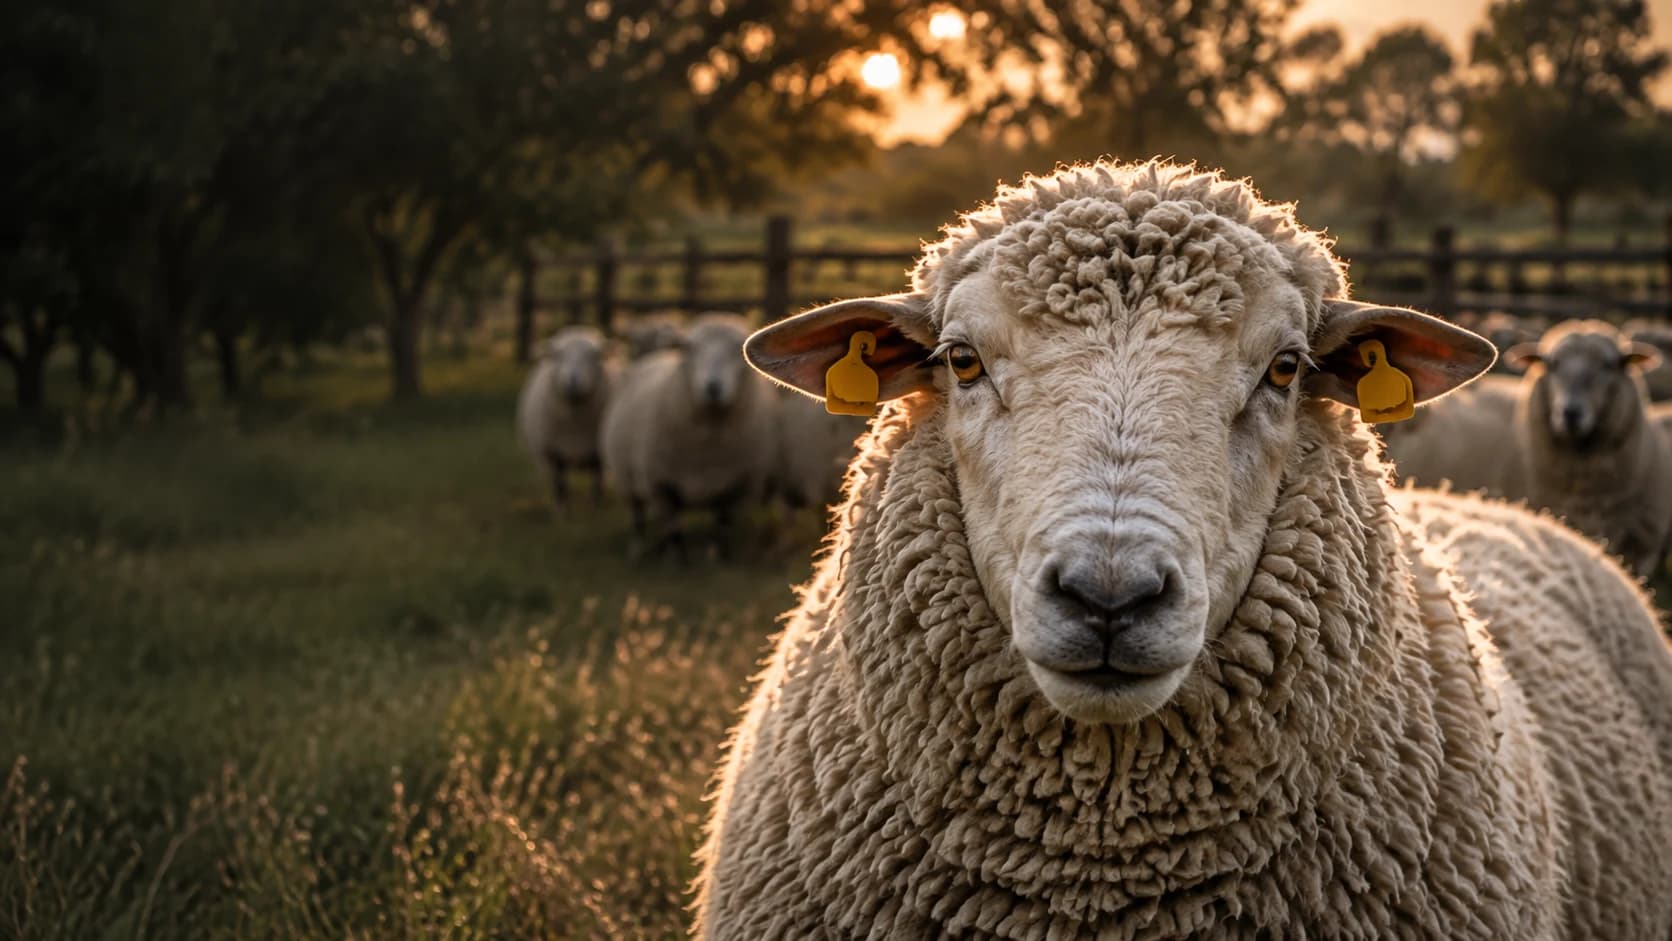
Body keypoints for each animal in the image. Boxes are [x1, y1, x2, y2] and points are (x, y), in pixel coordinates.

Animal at [515, 326, 610, 505]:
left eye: (593, 355)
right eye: (558, 355)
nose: (572, 380)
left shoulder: (597, 456)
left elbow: (596, 486)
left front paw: (595, 507)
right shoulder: (552, 456)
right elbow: (561, 490)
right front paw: (563, 512)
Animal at [599, 313, 775, 558]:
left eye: (736, 350)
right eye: (691, 348)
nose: (713, 387)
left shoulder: (740, 488)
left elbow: (723, 527)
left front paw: (720, 555)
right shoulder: (660, 485)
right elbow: (674, 530)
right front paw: (677, 558)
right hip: (625, 476)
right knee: (638, 516)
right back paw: (638, 548)